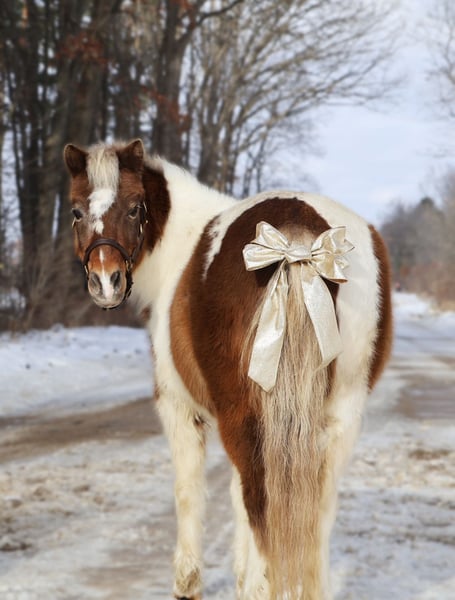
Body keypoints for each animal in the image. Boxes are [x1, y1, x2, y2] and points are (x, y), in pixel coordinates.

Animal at [63, 138, 392, 600]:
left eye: (134, 208)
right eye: (77, 211)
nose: (105, 282)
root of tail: (297, 238)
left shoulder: (180, 408)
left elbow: (190, 491)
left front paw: (188, 583)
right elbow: (237, 499)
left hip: (247, 418)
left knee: (261, 503)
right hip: (341, 417)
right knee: (317, 512)